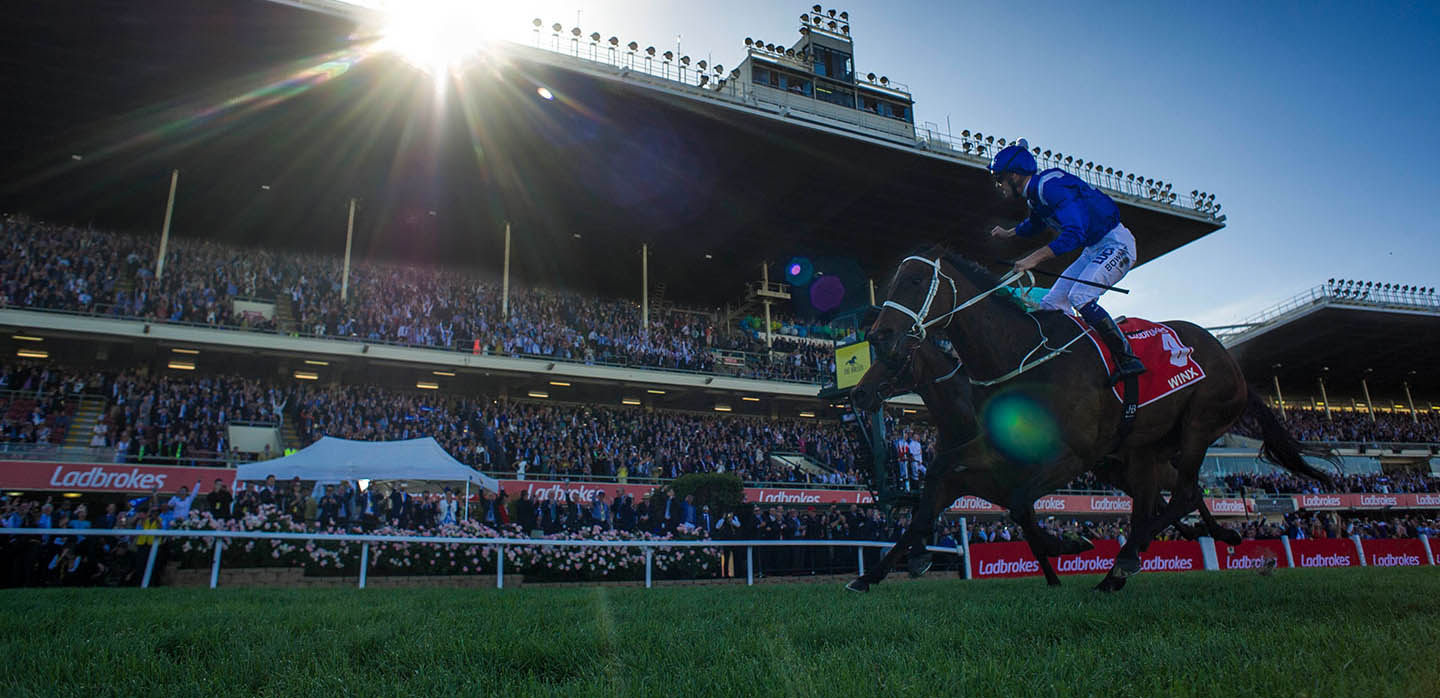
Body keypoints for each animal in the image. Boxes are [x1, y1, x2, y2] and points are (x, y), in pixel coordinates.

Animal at [855, 247, 1334, 591]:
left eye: (915, 280)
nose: (879, 333)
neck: (1021, 358)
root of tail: (1232, 363)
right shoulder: (987, 454)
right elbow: (940, 490)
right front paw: (872, 575)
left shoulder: (1073, 454)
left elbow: (1018, 504)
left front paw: (1066, 547)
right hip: (1143, 452)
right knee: (1160, 500)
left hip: (1199, 423)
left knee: (1181, 494)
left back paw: (1129, 558)